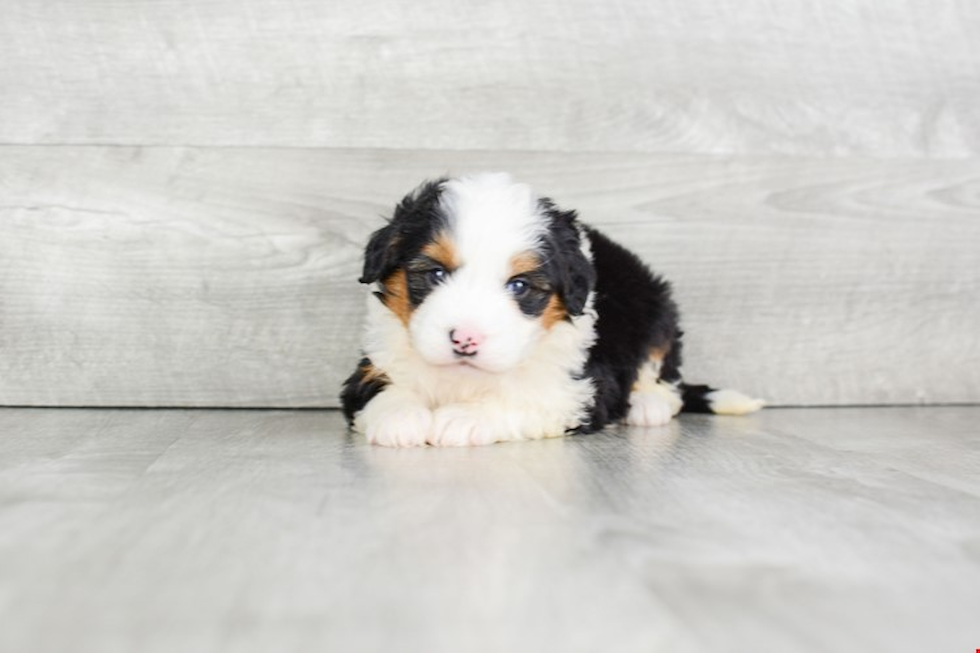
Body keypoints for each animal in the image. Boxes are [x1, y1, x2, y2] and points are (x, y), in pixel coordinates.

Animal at [340, 172, 760, 448]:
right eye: (435, 273)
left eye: (520, 286)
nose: (465, 339)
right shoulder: (375, 363)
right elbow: (383, 390)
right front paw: (400, 418)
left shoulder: (579, 389)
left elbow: (523, 398)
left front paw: (463, 418)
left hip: (656, 307)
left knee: (664, 375)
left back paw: (647, 404)